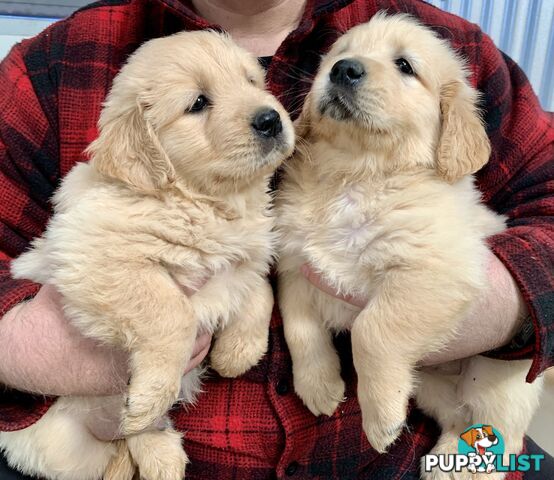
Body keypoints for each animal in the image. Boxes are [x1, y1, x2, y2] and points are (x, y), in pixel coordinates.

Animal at [1, 31, 294, 480]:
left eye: (252, 82)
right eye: (198, 103)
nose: (271, 119)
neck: (203, 201)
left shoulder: (244, 256)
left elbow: (259, 289)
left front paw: (237, 354)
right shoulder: (93, 255)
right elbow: (171, 313)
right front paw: (152, 393)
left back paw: (164, 456)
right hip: (60, 445)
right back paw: (146, 428)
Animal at [276, 13, 540, 478]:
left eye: (404, 65)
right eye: (339, 53)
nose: (343, 69)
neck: (354, 173)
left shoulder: (434, 272)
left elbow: (372, 330)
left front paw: (380, 419)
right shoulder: (294, 264)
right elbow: (300, 329)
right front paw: (318, 386)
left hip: (494, 376)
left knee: (501, 432)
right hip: (429, 384)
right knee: (458, 417)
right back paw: (447, 459)